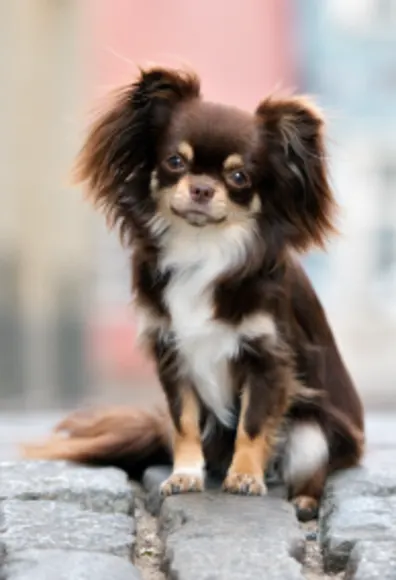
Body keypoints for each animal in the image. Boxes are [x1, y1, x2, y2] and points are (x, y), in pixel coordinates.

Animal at [24, 67, 366, 520]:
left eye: (239, 177)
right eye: (175, 162)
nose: (202, 188)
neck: (203, 247)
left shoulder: (268, 360)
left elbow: (252, 424)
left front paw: (245, 477)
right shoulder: (173, 354)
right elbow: (183, 422)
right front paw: (184, 475)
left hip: (313, 433)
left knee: (311, 468)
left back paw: (304, 502)